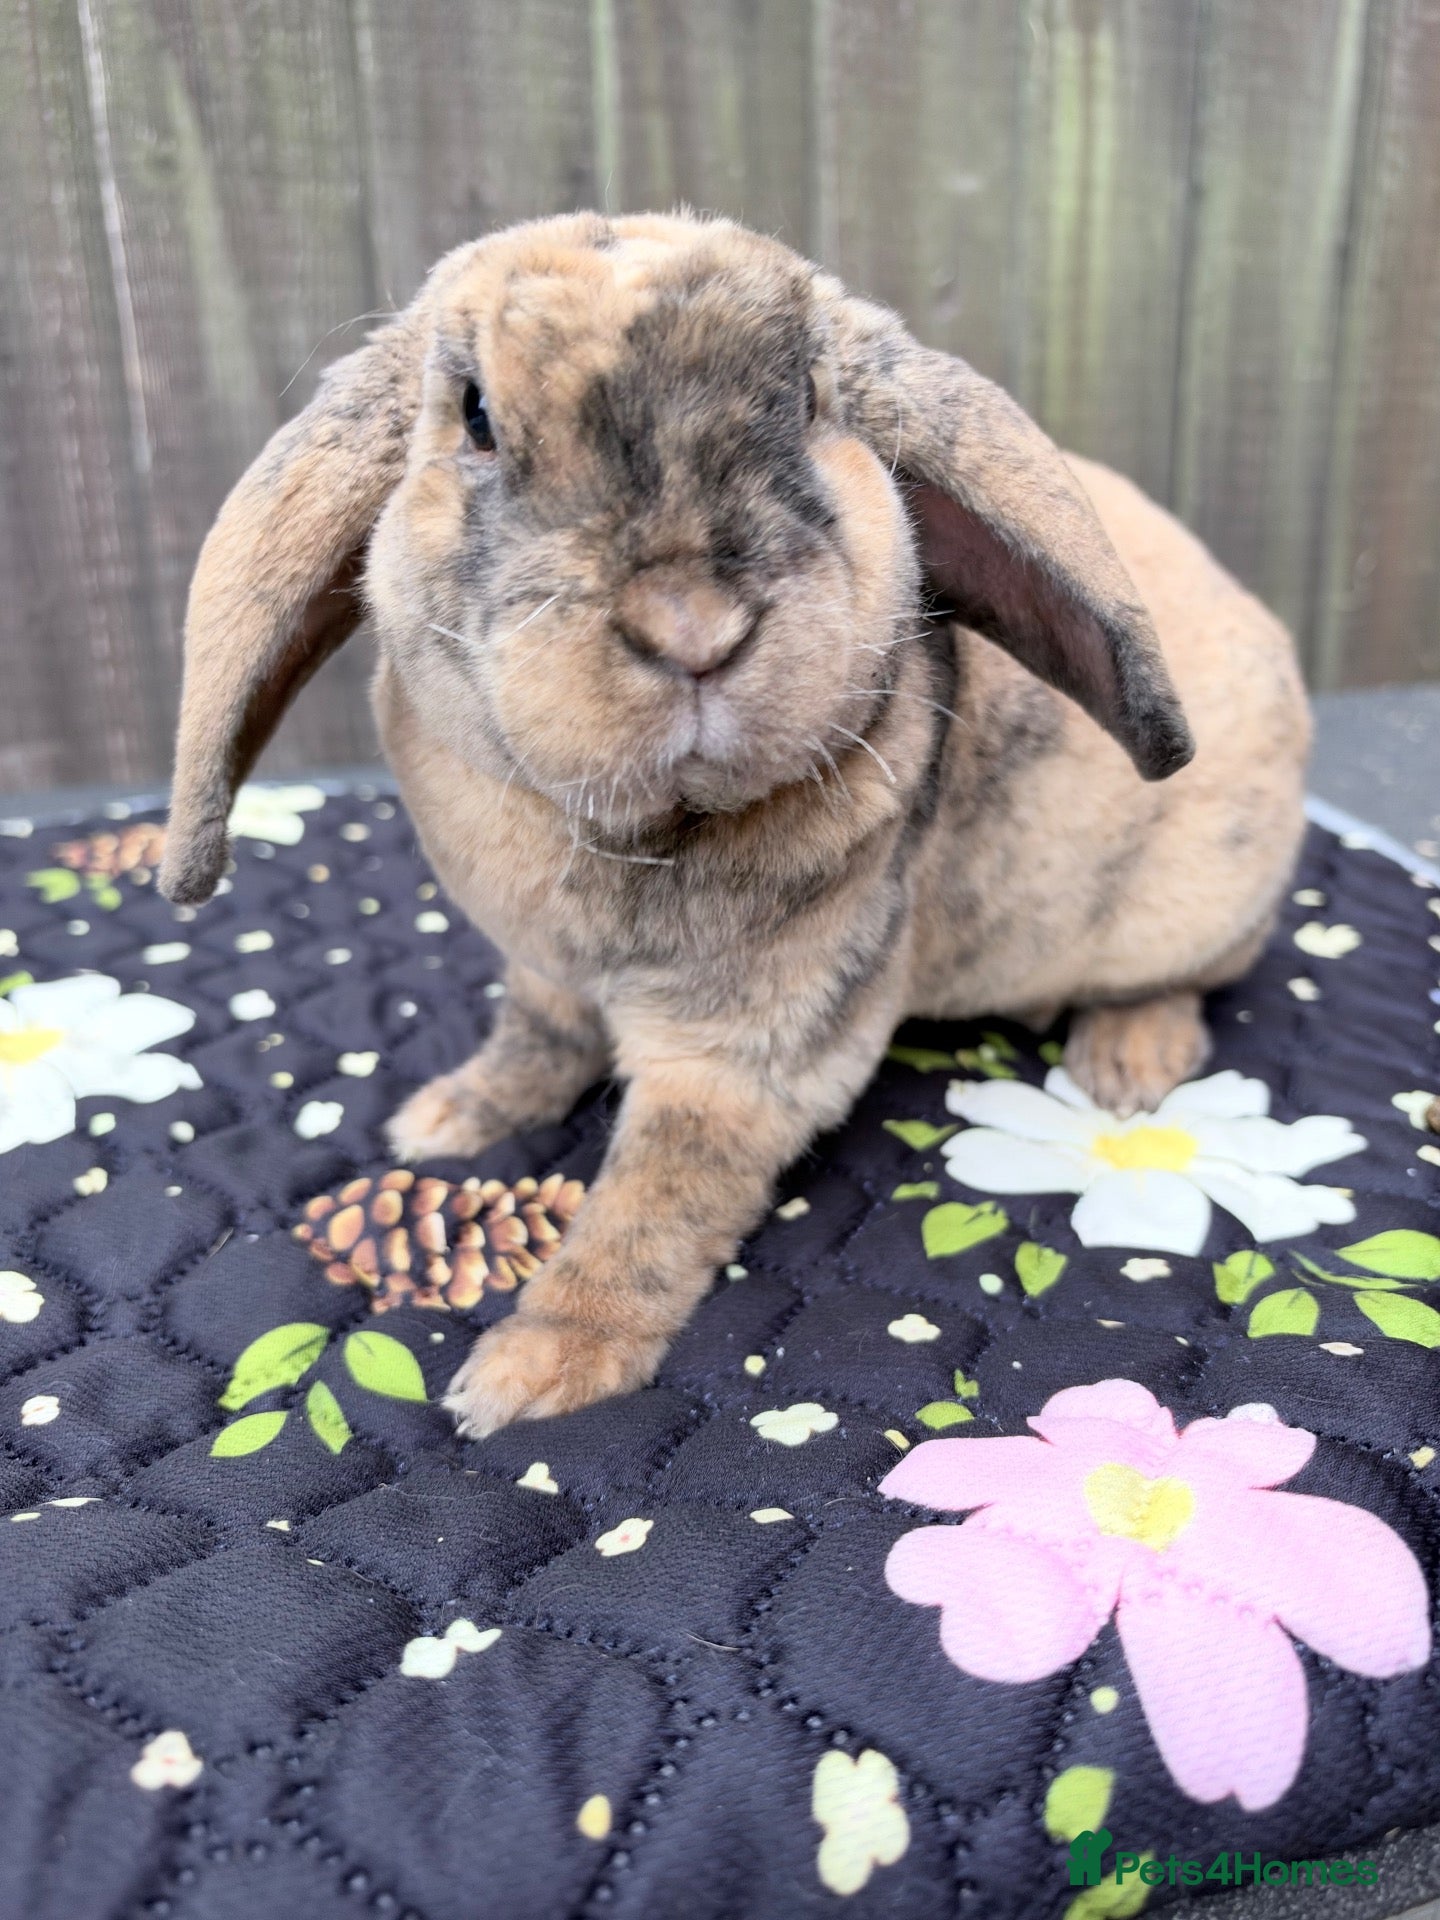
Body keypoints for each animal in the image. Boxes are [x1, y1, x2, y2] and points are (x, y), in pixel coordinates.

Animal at [160, 210, 1310, 1437]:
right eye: (474, 415)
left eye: (807, 398)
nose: (693, 628)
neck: (638, 827)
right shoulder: (544, 973)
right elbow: (536, 1042)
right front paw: (454, 1115)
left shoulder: (745, 1054)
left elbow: (654, 1198)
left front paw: (535, 1369)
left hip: (1187, 911)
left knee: (1189, 981)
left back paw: (1126, 1061)